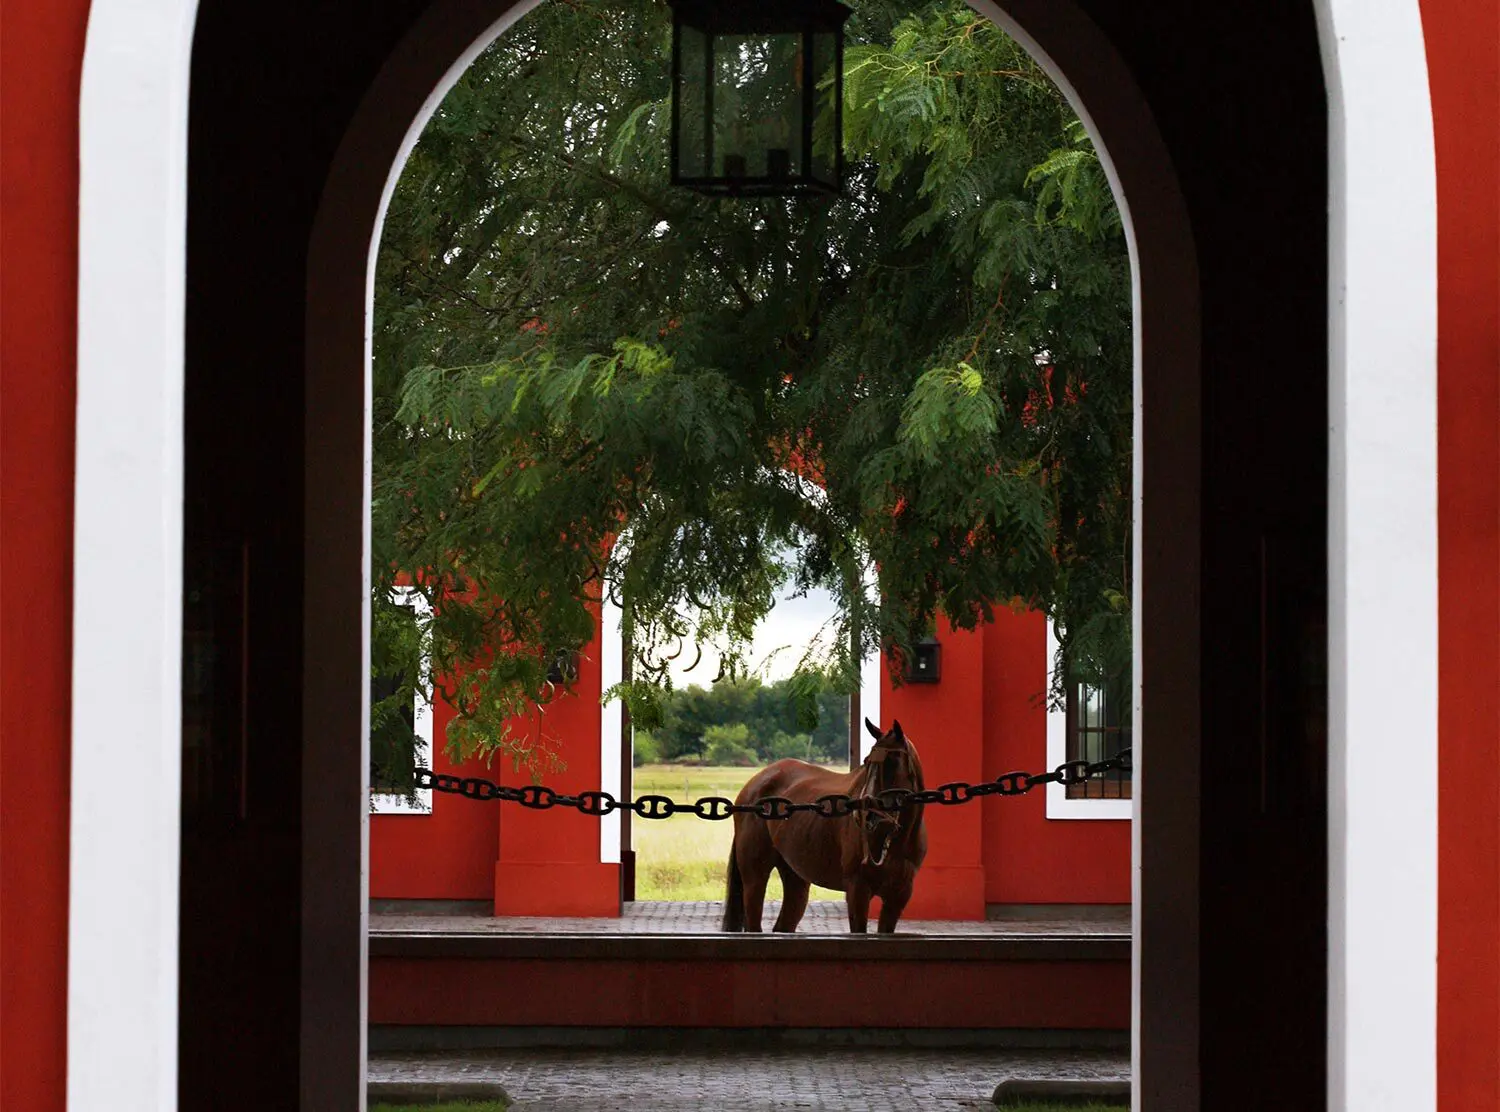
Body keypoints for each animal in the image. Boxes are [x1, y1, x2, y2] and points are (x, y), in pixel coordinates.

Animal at [723, 714, 924, 930]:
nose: (867, 816)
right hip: (755, 877)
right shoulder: (858, 891)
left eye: (893, 762)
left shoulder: (897, 897)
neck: (892, 841)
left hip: (795, 877)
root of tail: (754, 785)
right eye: (867, 762)